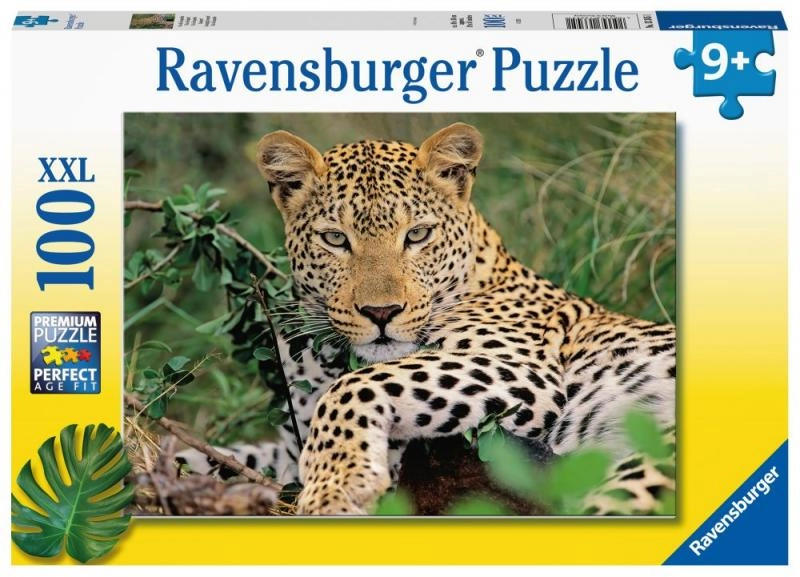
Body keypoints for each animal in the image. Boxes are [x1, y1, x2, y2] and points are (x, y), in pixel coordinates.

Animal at [178, 122, 676, 516]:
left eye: (417, 235)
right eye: (335, 239)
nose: (381, 312)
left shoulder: (526, 372)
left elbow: (357, 385)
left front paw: (337, 487)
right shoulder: (288, 447)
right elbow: (221, 454)